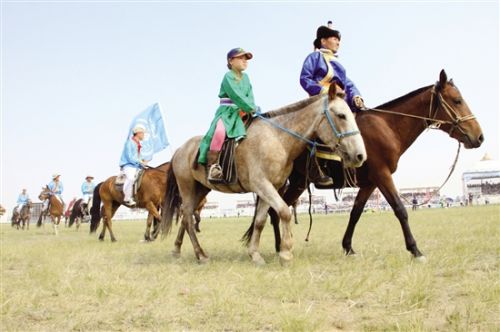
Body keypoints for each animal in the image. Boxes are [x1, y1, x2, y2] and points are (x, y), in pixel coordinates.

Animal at [162, 84, 366, 266]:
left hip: (201, 189)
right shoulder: (262, 185)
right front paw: (285, 253)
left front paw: (255, 254)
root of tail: (180, 150)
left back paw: (177, 250)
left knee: (185, 216)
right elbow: (284, 212)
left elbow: (260, 221)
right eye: (341, 115)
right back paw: (201, 255)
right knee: (188, 217)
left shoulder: (271, 187)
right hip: (187, 187)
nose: (360, 155)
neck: (277, 139)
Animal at [245, 70, 484, 262]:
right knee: (276, 210)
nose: (479, 137)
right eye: (457, 100)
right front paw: (415, 250)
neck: (388, 127)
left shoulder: (370, 183)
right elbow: (400, 209)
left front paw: (348, 248)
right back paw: (280, 248)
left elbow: (356, 212)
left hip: (296, 182)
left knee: (275, 209)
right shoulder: (382, 175)